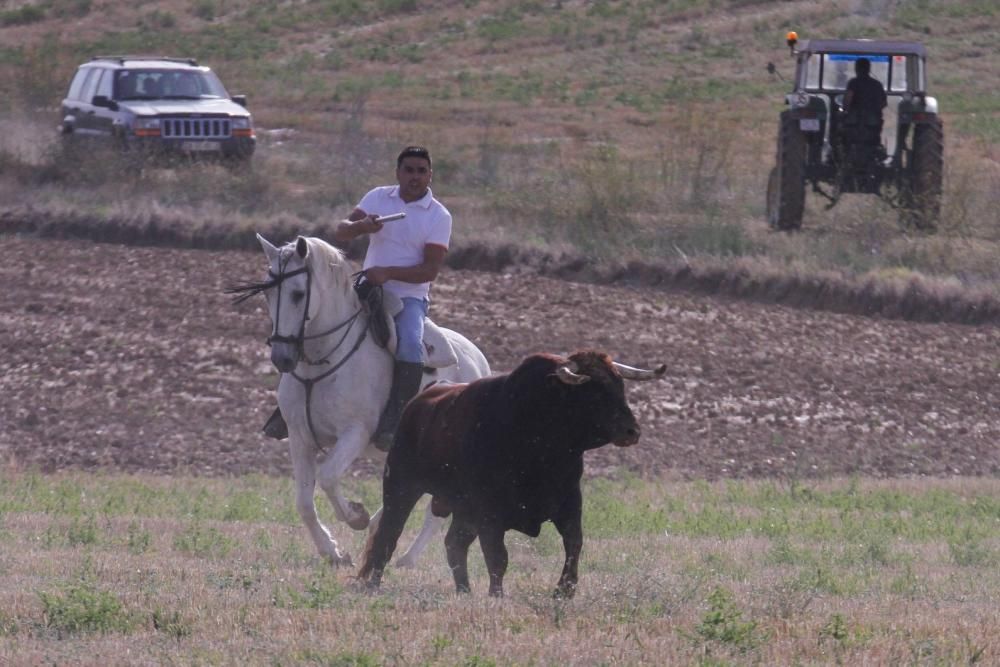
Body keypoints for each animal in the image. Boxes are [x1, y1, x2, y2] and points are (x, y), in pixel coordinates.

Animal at [230, 237, 488, 568]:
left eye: (298, 293)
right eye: (267, 292)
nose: (281, 357)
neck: (322, 362)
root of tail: (478, 361)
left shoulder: (355, 434)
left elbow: (327, 476)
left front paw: (356, 517)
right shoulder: (299, 437)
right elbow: (304, 503)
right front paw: (333, 552)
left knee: (436, 511)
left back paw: (406, 558)